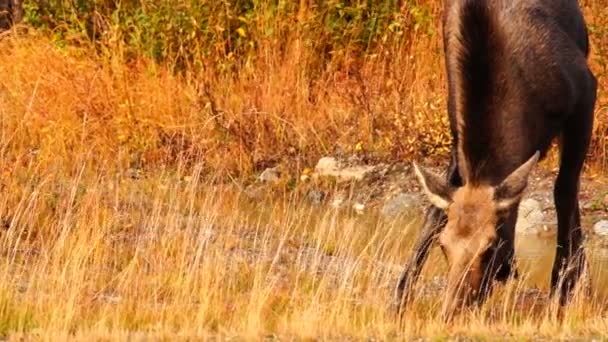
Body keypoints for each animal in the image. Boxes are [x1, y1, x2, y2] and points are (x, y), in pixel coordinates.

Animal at [394, 0, 600, 320]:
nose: (453, 311)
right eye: (444, 245)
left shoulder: (584, 94)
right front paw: (401, 296)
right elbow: (434, 210)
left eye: (490, 246)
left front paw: (562, 288)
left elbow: (564, 192)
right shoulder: (457, 139)